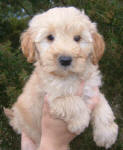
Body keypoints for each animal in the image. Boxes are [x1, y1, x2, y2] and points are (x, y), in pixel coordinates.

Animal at [4, 6, 118, 149]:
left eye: (77, 38)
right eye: (50, 37)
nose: (65, 60)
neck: (69, 77)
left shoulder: (91, 89)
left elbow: (104, 106)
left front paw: (106, 134)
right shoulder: (52, 97)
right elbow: (72, 101)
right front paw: (80, 121)